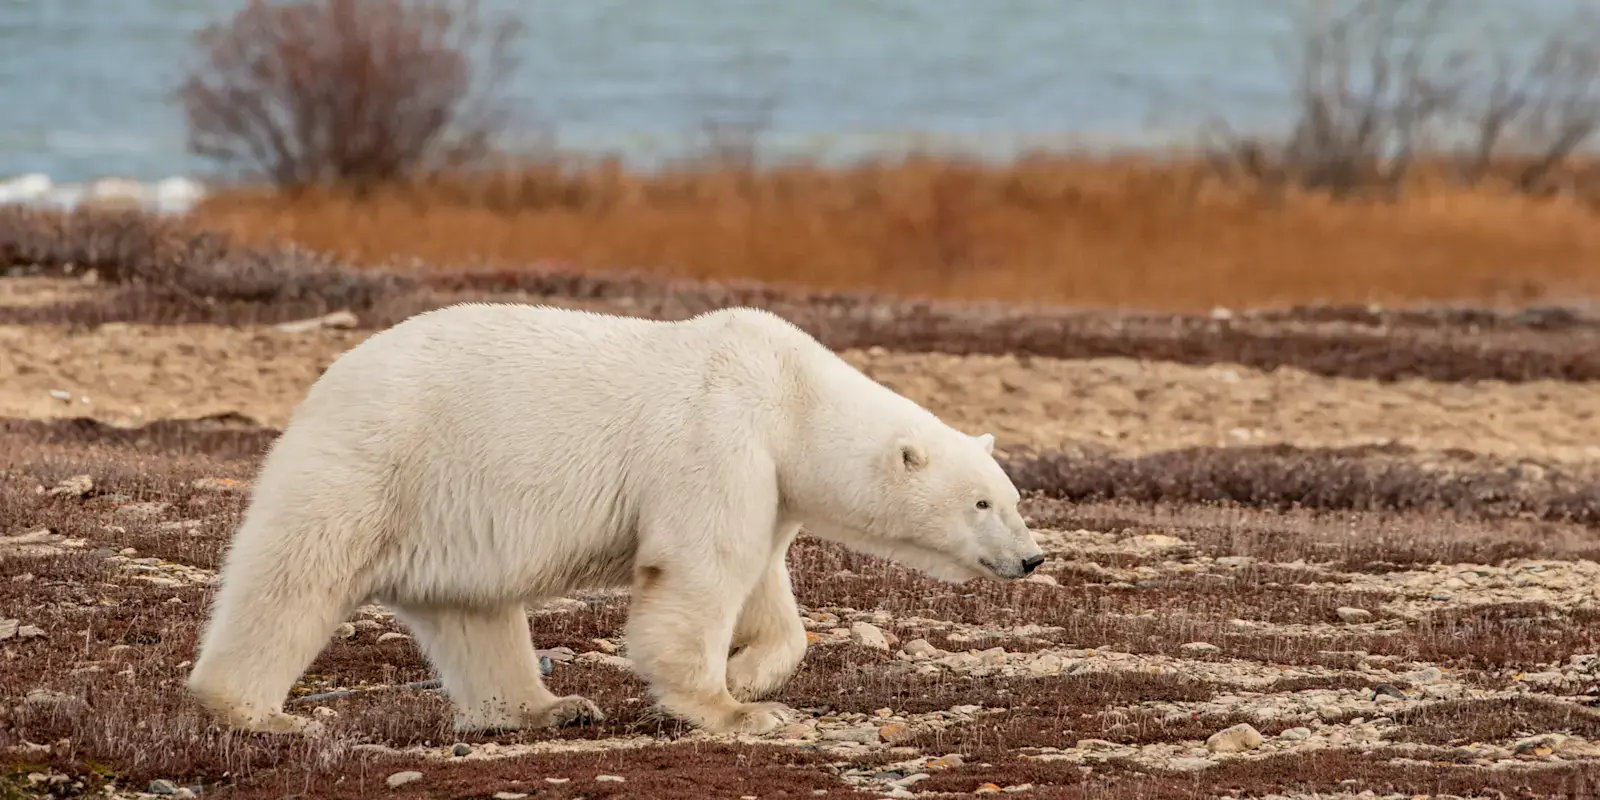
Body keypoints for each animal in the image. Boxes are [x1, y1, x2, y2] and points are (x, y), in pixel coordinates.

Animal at [186, 303, 1045, 737]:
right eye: (982, 503)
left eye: (1013, 498)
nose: (1033, 558)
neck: (790, 393)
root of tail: (323, 381)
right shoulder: (717, 436)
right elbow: (698, 572)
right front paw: (739, 709)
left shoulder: (767, 481)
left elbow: (763, 584)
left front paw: (753, 672)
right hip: (376, 460)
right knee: (293, 577)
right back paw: (262, 714)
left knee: (476, 615)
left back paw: (550, 706)